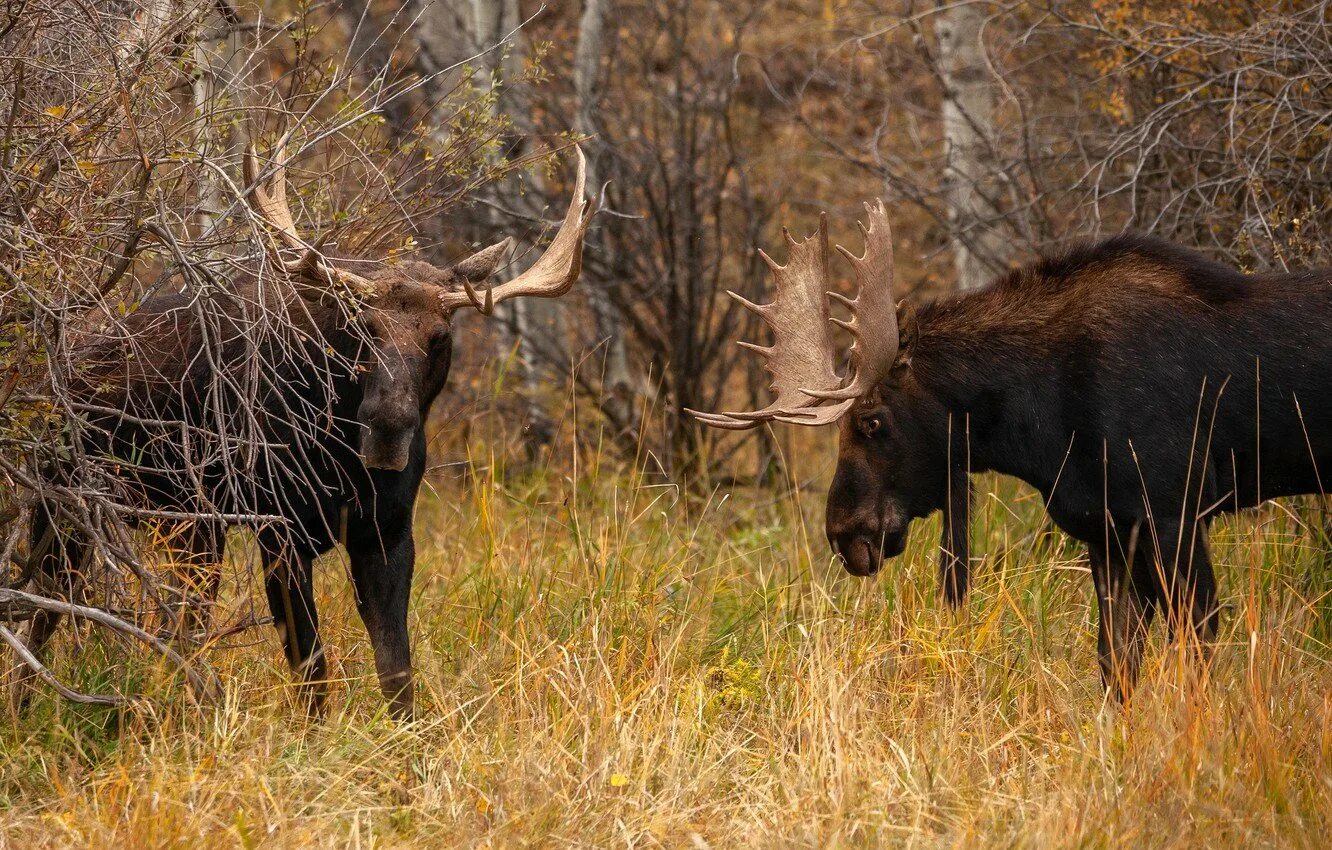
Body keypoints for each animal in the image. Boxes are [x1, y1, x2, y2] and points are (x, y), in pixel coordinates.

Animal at [19, 146, 594, 719]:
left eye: (439, 337)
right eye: (363, 327)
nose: (387, 426)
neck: (341, 458)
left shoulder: (387, 532)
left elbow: (397, 671)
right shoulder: (280, 531)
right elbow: (311, 667)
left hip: (179, 525)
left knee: (161, 622)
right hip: (76, 503)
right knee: (52, 613)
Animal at [692, 202, 1332, 703]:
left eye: (872, 420)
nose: (844, 533)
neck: (1040, 421)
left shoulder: (1176, 510)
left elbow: (1195, 644)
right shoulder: (1106, 528)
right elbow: (1115, 663)